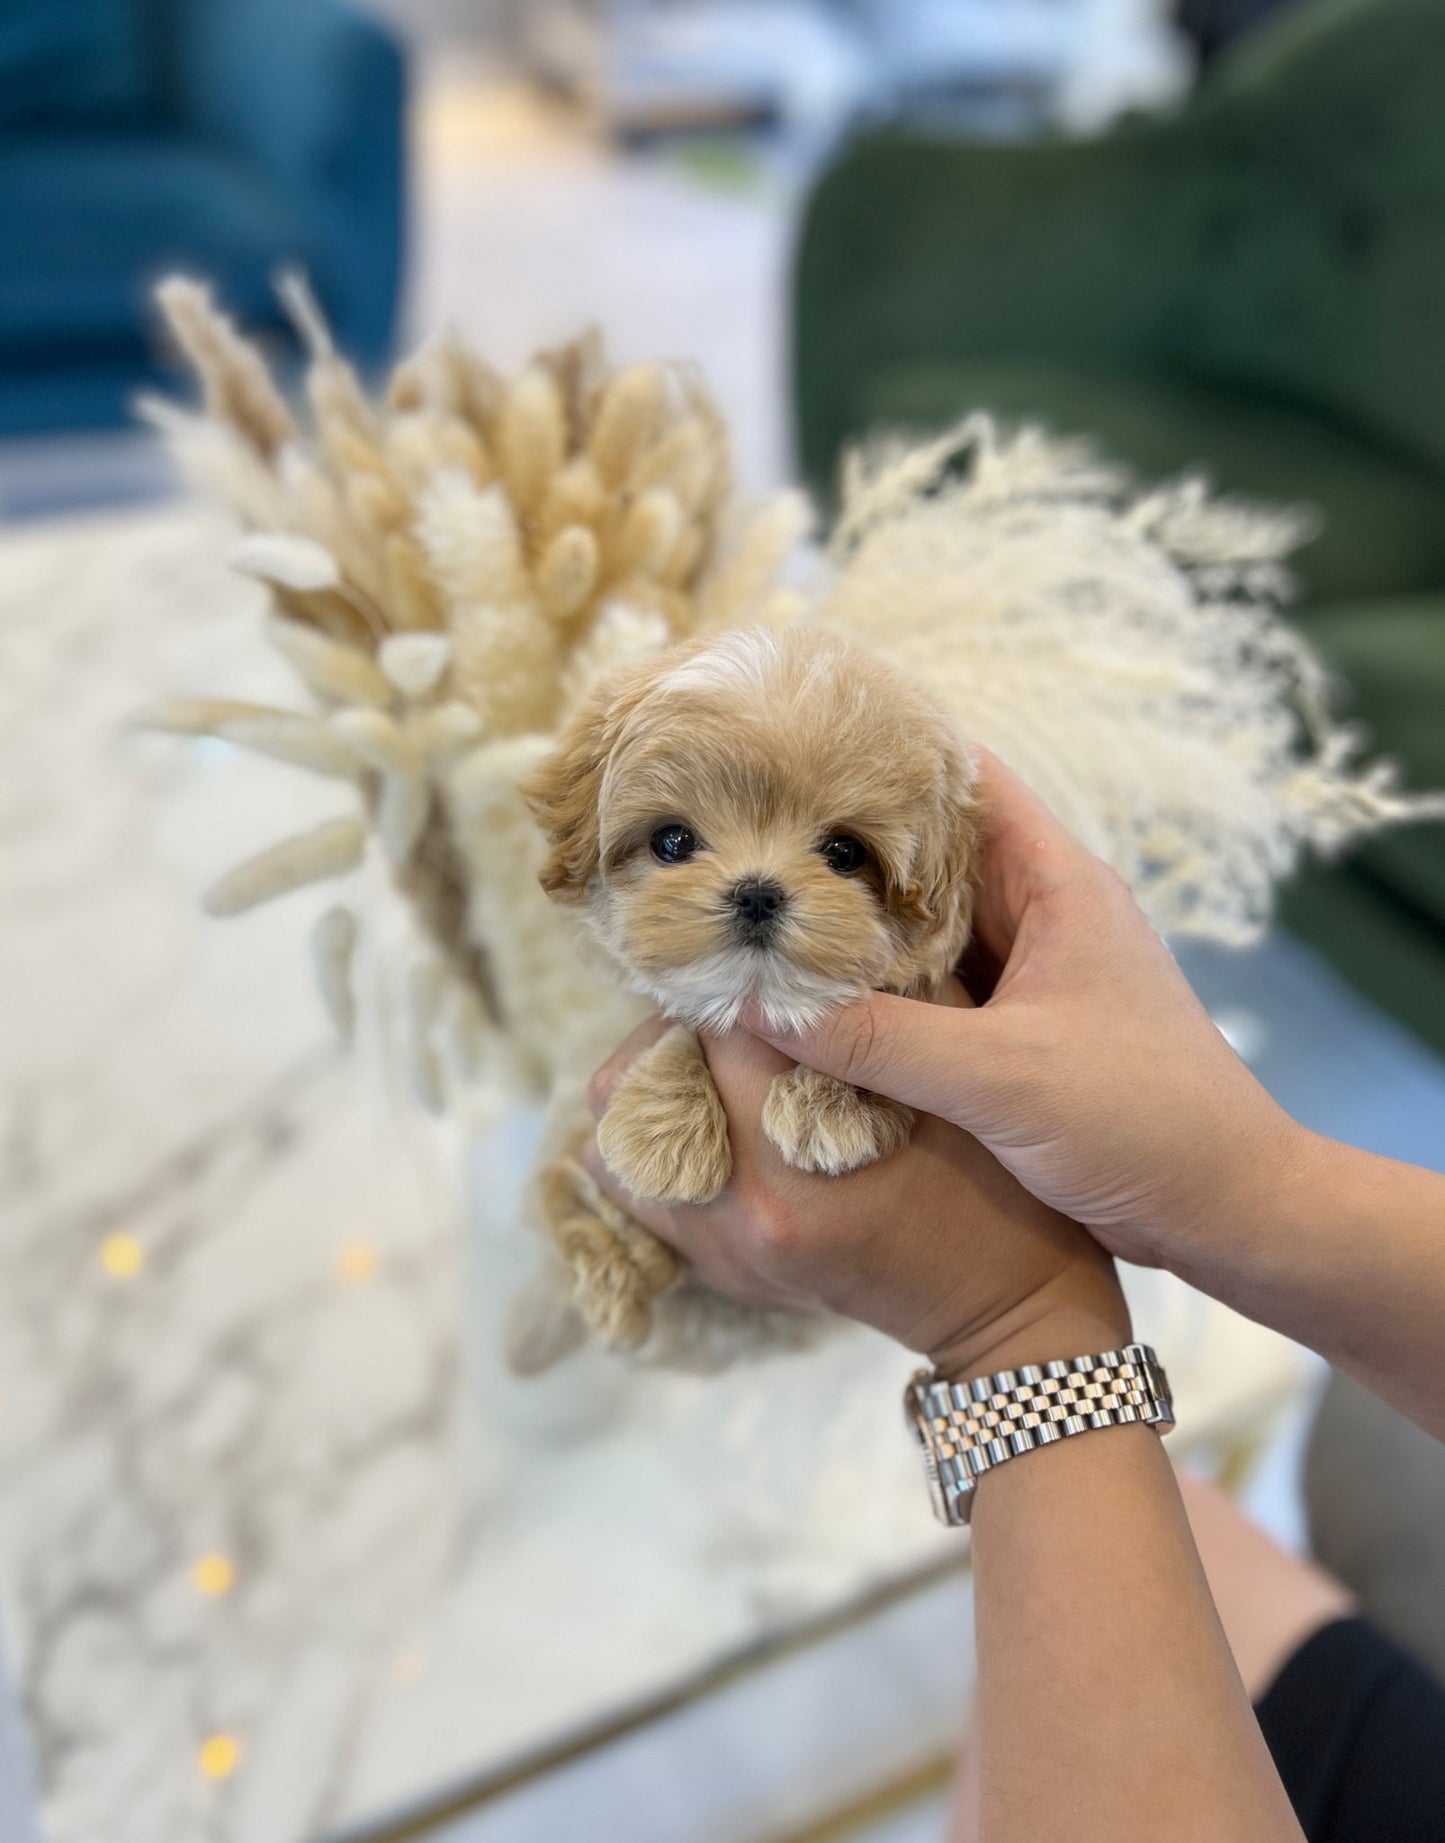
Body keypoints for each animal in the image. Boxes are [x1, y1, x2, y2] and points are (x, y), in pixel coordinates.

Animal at [519, 626, 980, 1363]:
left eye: (845, 853)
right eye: (672, 840)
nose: (758, 891)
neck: (754, 999)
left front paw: (832, 1099)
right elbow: (675, 1018)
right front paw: (662, 1132)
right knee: (560, 1190)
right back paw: (615, 1269)